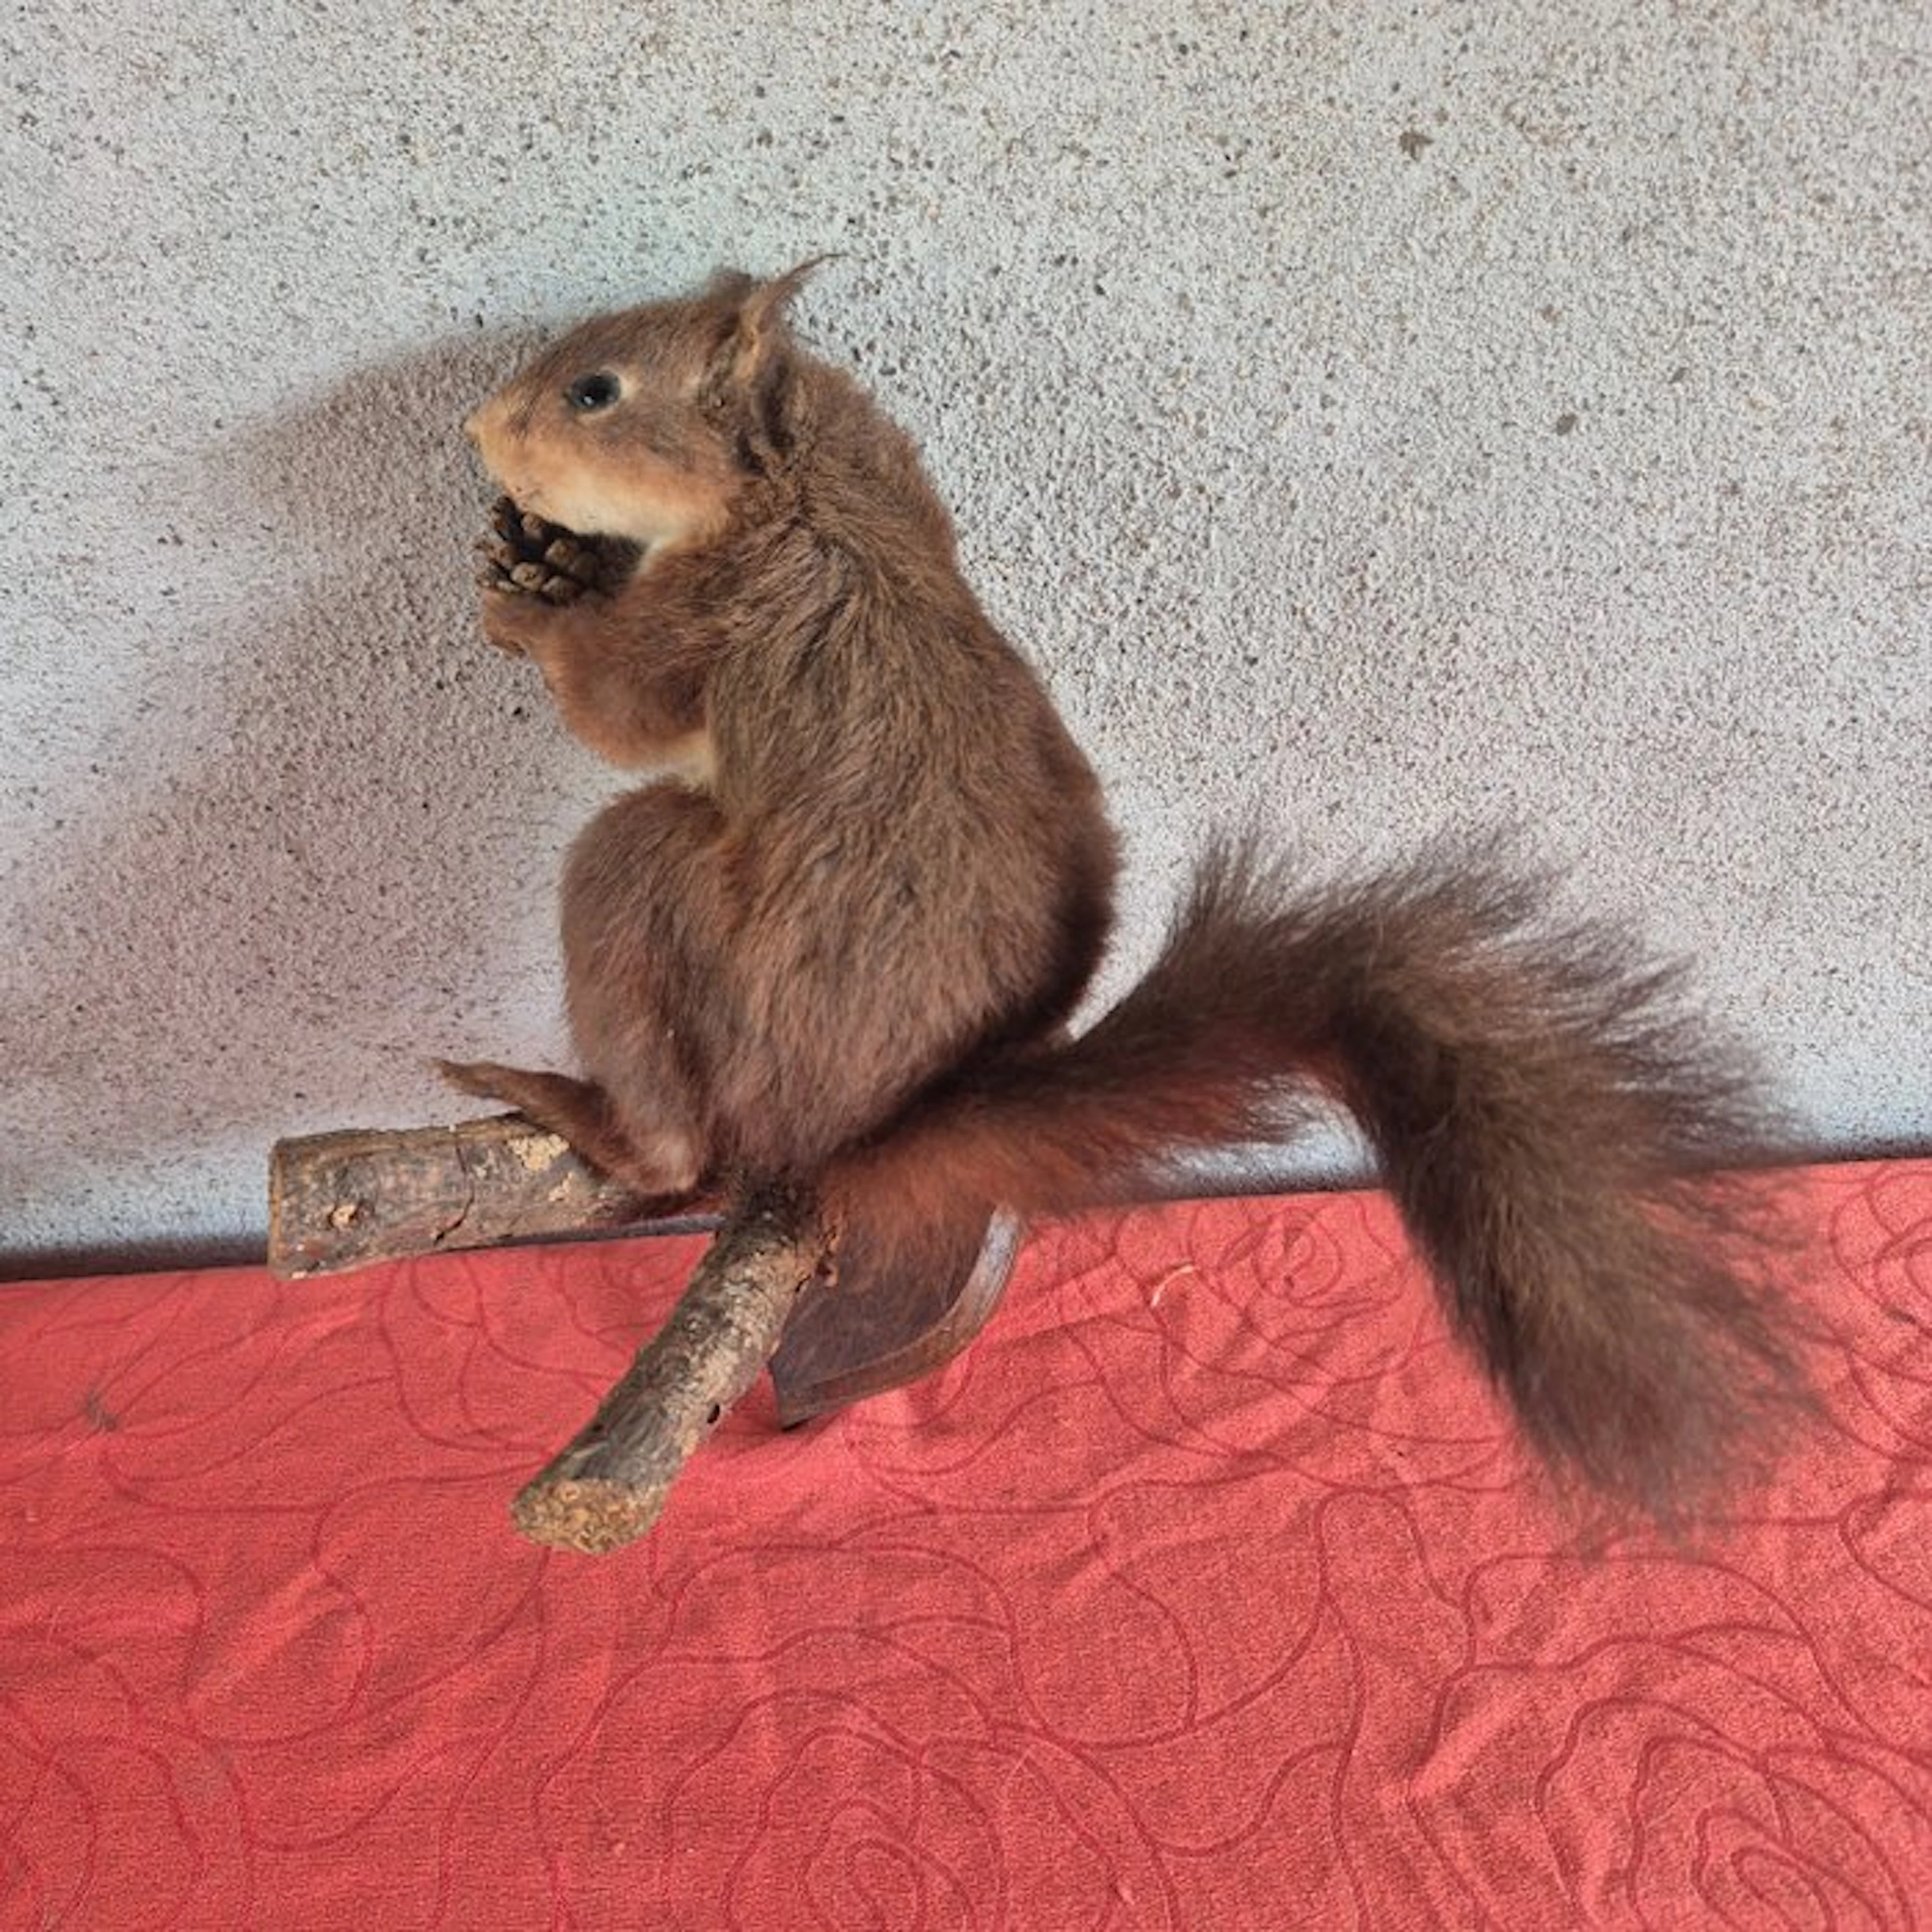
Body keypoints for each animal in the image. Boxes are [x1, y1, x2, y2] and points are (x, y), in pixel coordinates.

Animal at [442, 264, 1806, 1523]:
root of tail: (853, 1135)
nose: (479, 427)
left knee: (678, 1112)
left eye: (595, 390)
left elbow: (618, 709)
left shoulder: (712, 610)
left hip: (662, 905)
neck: (813, 484)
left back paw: (585, 1110)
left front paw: (528, 604)